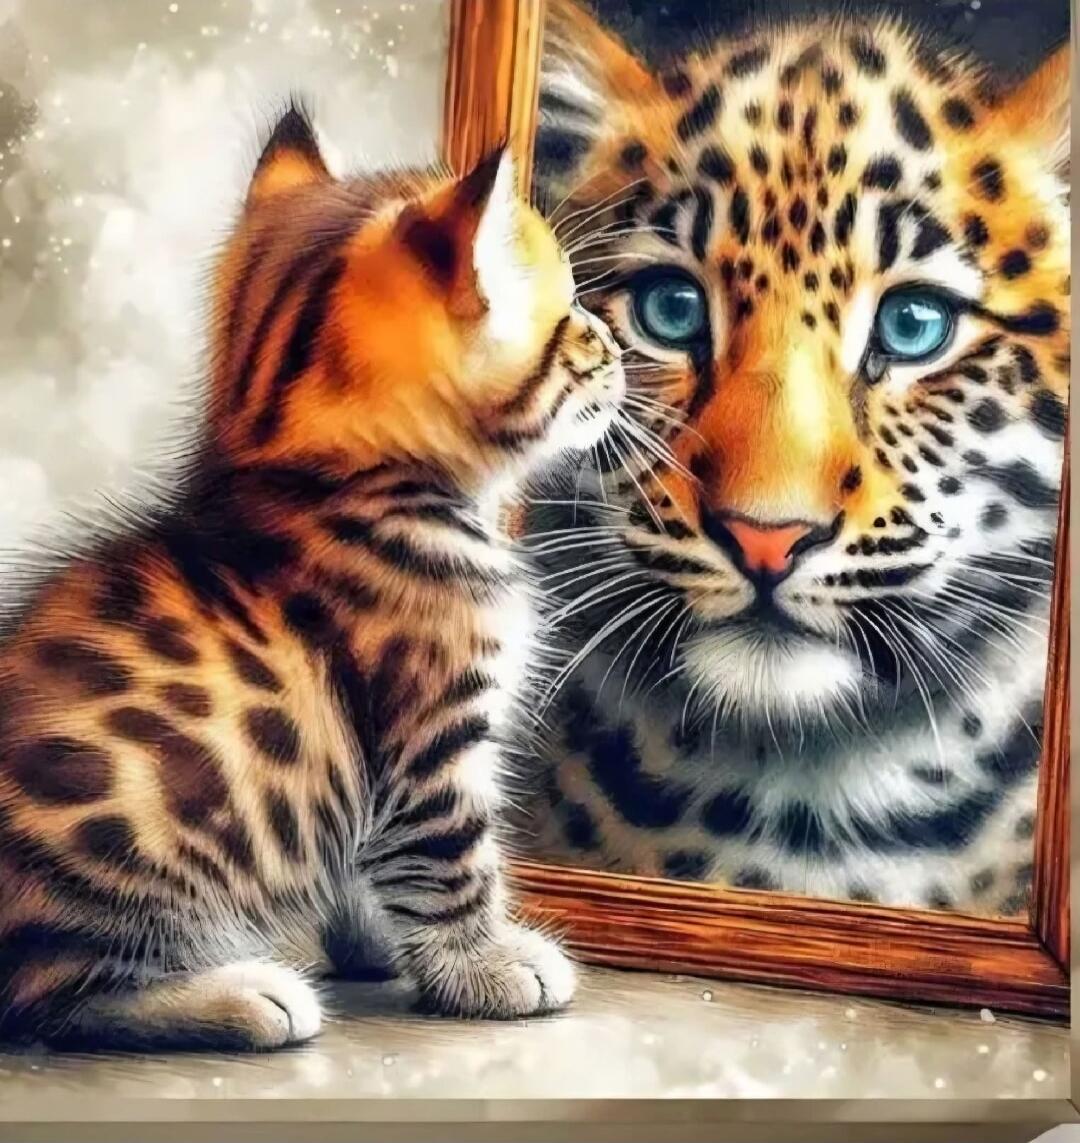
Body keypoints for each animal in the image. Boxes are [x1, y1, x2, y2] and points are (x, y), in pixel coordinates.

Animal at [0, 102, 626, 1050]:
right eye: (571, 320)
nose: (617, 344)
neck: (329, 477)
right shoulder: (434, 736)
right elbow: (451, 860)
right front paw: (486, 965)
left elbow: (367, 863)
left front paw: (377, 945)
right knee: (53, 993)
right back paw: (239, 994)